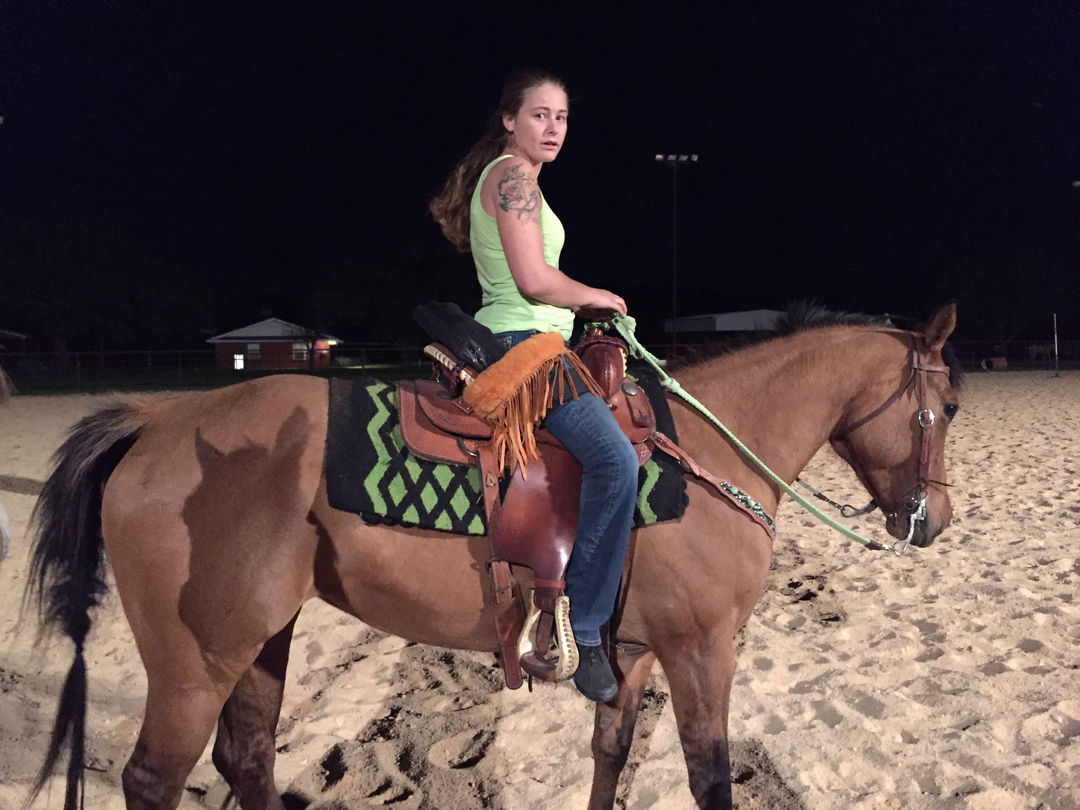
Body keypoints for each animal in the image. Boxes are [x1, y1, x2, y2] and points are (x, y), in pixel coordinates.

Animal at [25, 304, 961, 809]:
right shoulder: (702, 650)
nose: (934, 521)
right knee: (155, 778)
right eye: (948, 404)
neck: (703, 457)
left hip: (264, 638)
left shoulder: (632, 652)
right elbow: (710, 776)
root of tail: (157, 419)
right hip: (195, 662)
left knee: (245, 756)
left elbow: (612, 753)